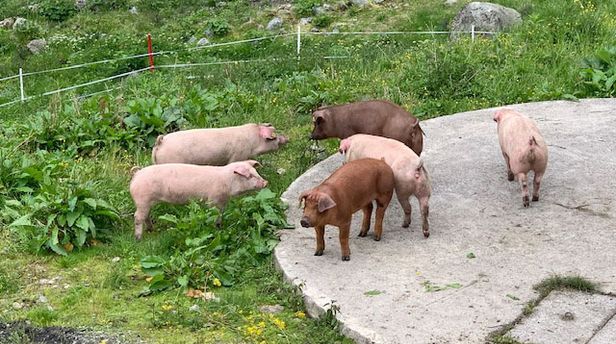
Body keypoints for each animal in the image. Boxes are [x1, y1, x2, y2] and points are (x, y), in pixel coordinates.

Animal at [130, 159, 268, 238]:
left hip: (146, 202)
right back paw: (138, 238)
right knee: (137, 217)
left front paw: (219, 226)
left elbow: (220, 215)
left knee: (146, 216)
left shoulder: (222, 202)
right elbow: (212, 213)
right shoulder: (213, 199)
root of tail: (137, 173)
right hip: (142, 200)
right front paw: (214, 229)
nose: (266, 182)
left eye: (256, 172)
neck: (227, 182)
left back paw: (151, 229)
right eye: (249, 176)